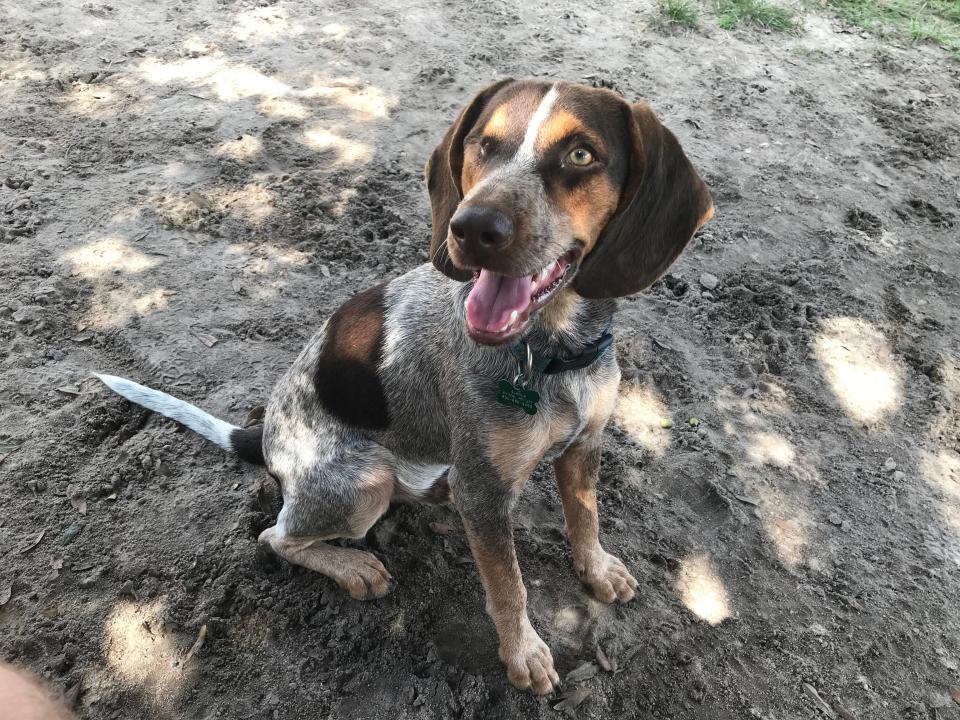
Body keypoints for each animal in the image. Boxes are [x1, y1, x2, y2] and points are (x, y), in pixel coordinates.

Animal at [97, 80, 712, 696]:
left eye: (581, 154)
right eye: (482, 144)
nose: (471, 228)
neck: (554, 353)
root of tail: (267, 439)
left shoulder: (585, 445)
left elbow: (585, 517)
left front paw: (597, 569)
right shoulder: (483, 494)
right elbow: (508, 586)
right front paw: (523, 653)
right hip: (362, 483)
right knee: (275, 537)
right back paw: (353, 567)